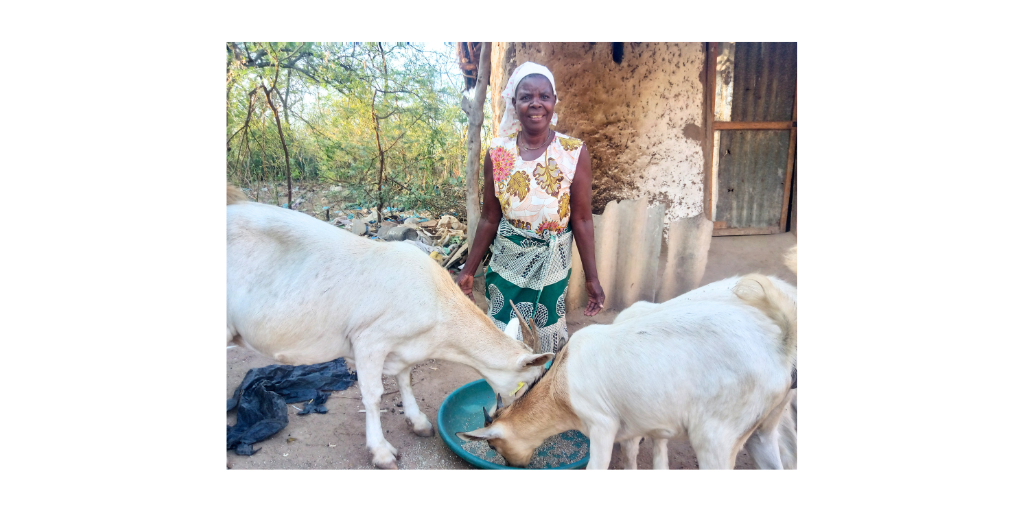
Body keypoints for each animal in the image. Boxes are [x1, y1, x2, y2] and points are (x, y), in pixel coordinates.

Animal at [229, 187, 557, 468]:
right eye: (529, 383)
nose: (505, 417)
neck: (437, 306)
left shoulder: (402, 344)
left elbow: (405, 379)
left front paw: (418, 422)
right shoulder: (369, 340)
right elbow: (373, 395)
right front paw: (381, 452)